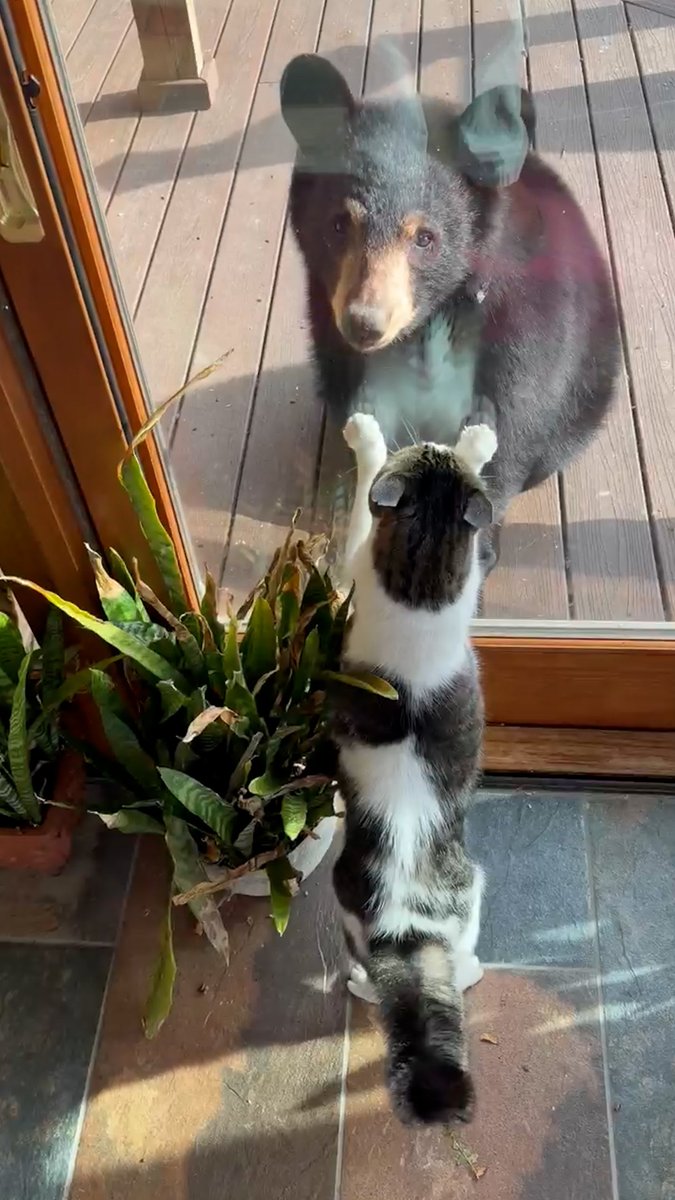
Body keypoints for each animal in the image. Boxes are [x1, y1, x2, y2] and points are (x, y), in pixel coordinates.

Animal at [279, 53, 620, 572]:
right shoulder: (329, 324)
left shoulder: (524, 315)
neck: (432, 318)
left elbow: (515, 413)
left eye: (425, 238)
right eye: (339, 225)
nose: (365, 323)